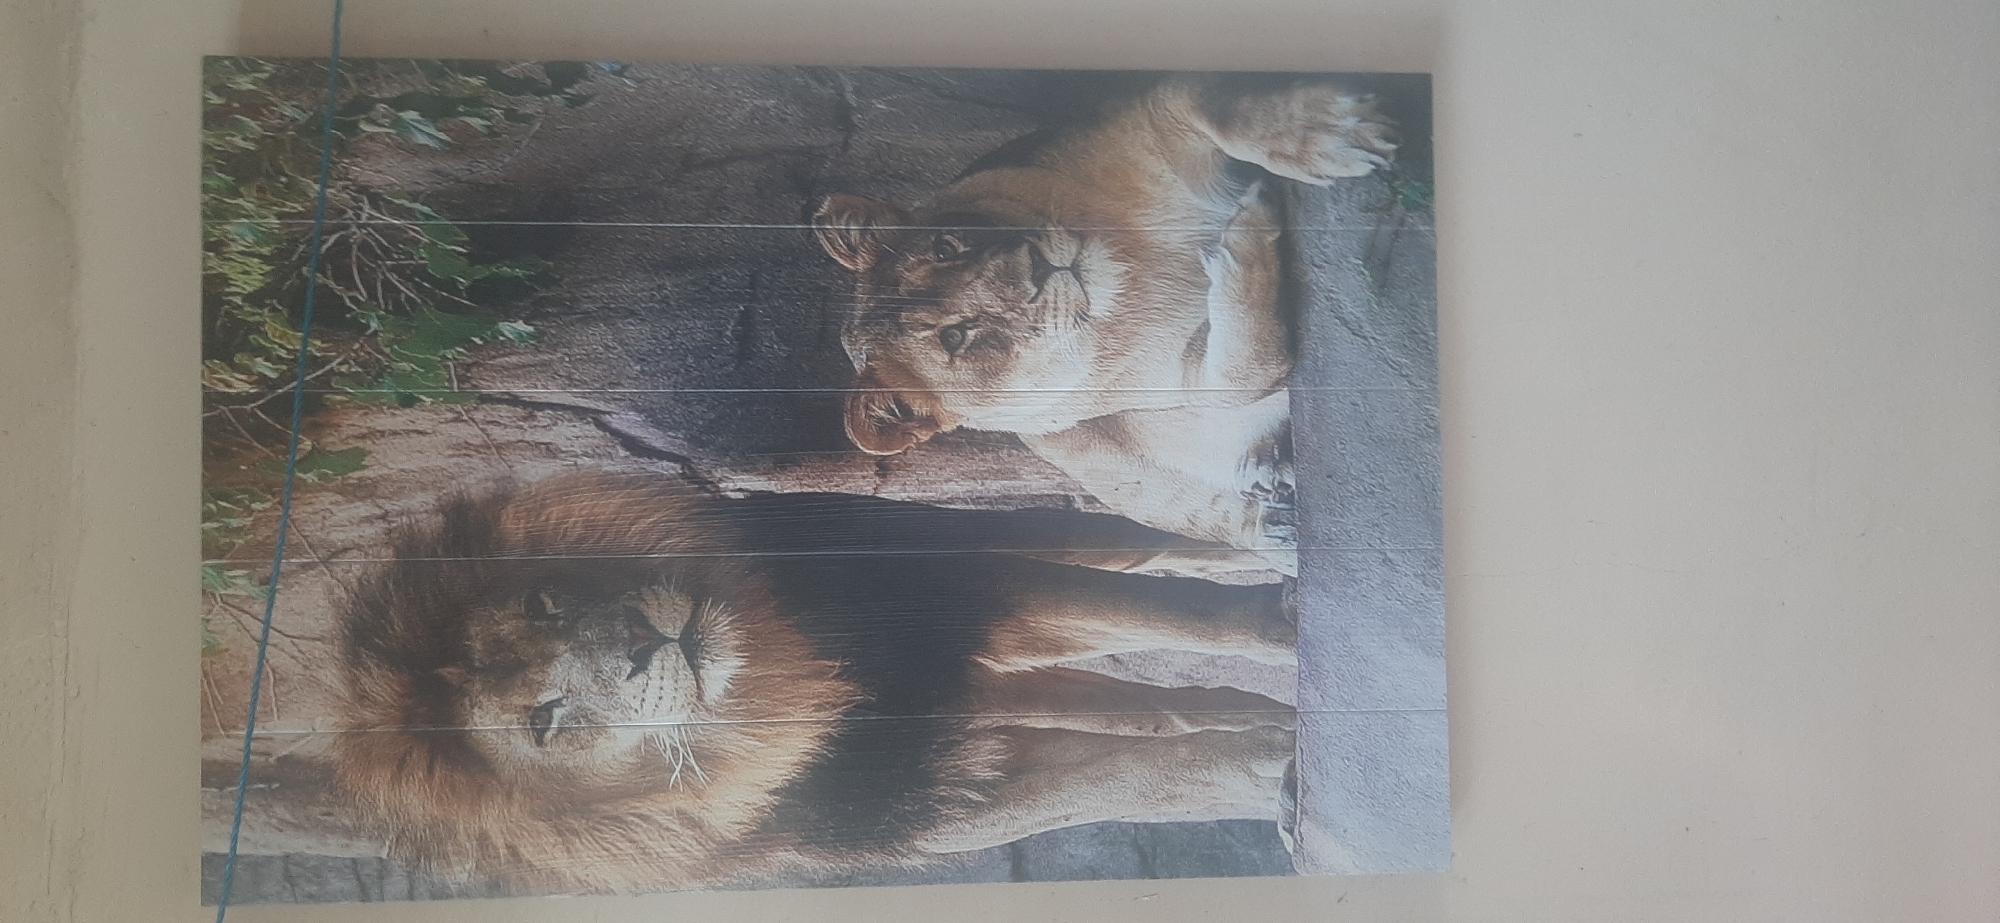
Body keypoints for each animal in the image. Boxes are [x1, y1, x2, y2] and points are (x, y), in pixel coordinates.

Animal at [334, 473, 1297, 893]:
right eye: (545, 721)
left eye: (545, 603)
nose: (644, 642)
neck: (786, 691)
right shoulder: (944, 784)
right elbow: (1143, 780)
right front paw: (1274, 775)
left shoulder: (949, 596)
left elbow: (1174, 613)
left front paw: (1280, 621)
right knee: (1154, 706)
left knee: (1138, 549)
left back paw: (1263, 534)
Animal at [814, 74, 1396, 555]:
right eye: (955, 339)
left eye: (945, 247)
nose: (1036, 269)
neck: (1130, 267)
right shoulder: (1174, 380)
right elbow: (1241, 374)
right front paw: (1248, 227)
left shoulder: (1140, 114)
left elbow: (1218, 109)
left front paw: (1332, 132)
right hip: (1118, 478)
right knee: (1214, 518)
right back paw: (1272, 501)